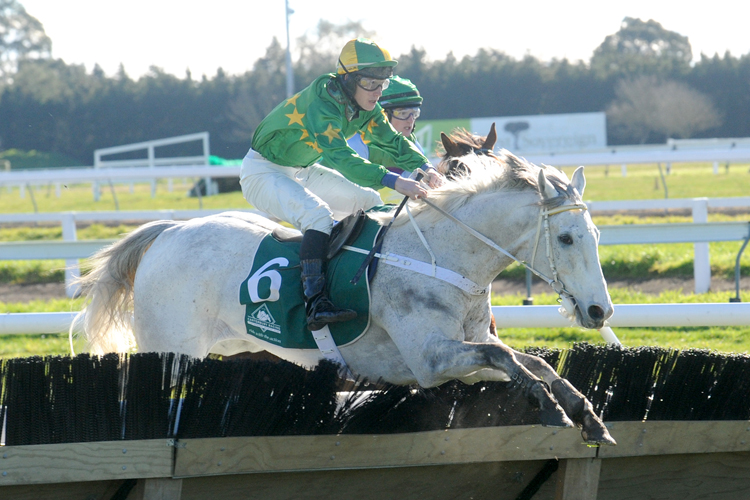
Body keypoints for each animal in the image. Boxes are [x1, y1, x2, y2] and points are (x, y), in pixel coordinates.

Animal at [73, 128, 616, 446]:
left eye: (595, 235)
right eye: (566, 237)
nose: (600, 311)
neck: (443, 258)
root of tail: (168, 230)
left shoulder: (465, 348)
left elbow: (531, 362)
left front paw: (584, 411)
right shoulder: (430, 360)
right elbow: (506, 359)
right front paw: (553, 408)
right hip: (168, 352)